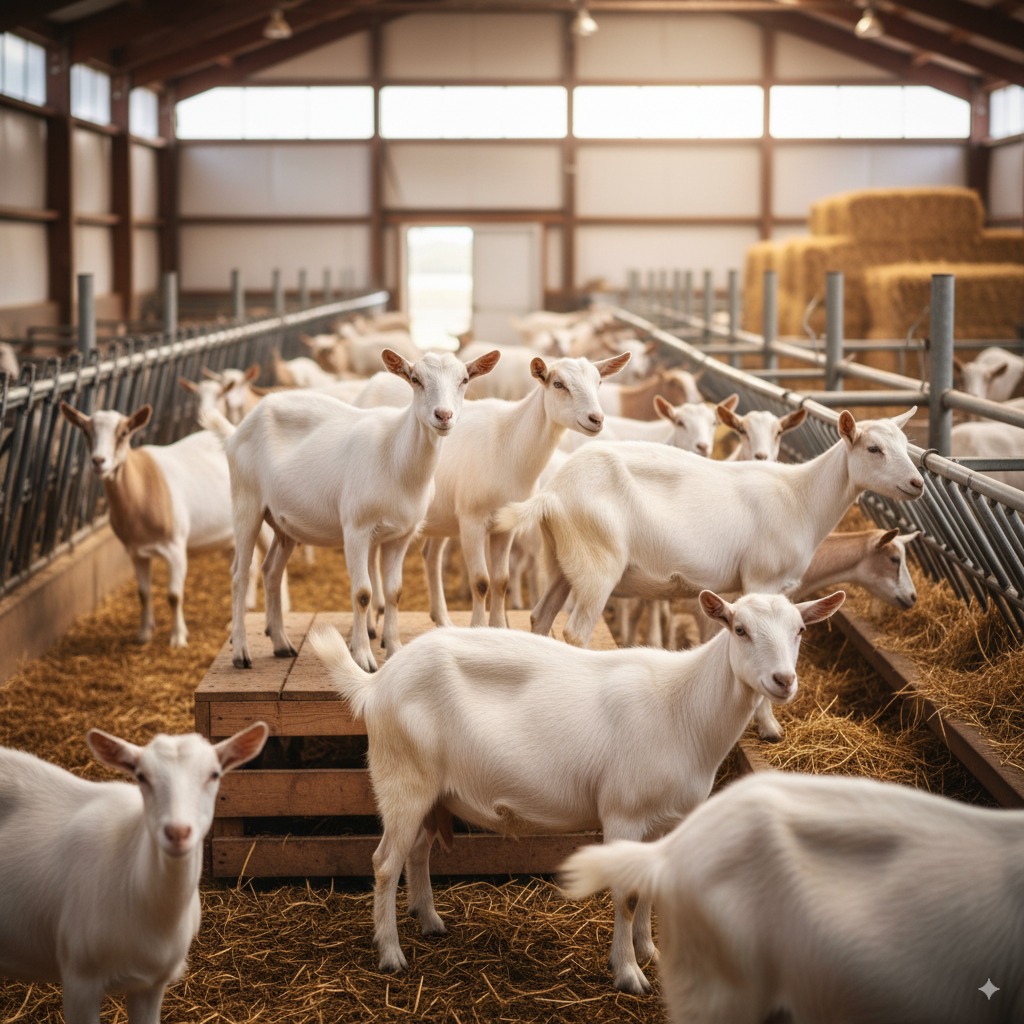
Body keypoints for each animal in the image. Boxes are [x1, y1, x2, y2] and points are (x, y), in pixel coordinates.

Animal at [204, 347, 499, 672]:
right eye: (415, 379)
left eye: (464, 380)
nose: (443, 415)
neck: (395, 456)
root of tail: (237, 430)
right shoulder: (356, 528)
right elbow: (363, 593)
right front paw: (363, 657)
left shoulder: (401, 535)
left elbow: (394, 593)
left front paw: (394, 649)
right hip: (246, 501)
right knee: (239, 575)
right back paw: (241, 652)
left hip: (283, 522)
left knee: (271, 571)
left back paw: (281, 643)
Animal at [308, 588, 845, 993]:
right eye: (739, 629)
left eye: (800, 630)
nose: (783, 680)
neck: (685, 710)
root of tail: (376, 684)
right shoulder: (624, 814)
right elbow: (626, 895)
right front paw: (628, 973)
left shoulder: (667, 820)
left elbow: (651, 886)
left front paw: (650, 952)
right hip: (403, 778)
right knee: (384, 862)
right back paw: (391, 953)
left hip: (431, 789)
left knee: (416, 851)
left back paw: (429, 921)